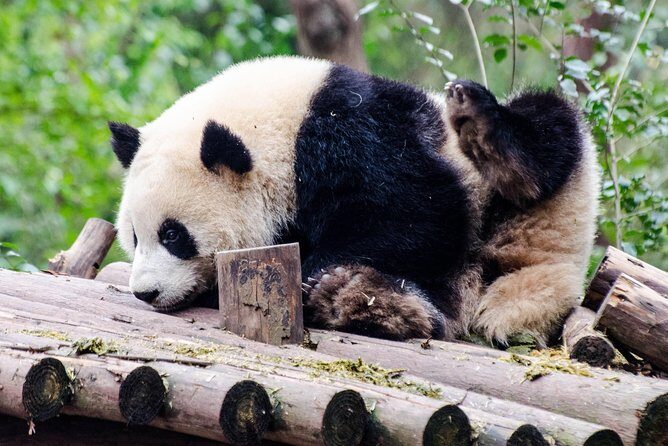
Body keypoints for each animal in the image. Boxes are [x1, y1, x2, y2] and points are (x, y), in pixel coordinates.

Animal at [110, 56, 599, 345]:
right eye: (133, 237)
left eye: (174, 235)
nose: (146, 292)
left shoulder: (353, 133)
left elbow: (420, 213)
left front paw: (316, 268)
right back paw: (359, 299)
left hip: (541, 192)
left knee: (548, 133)